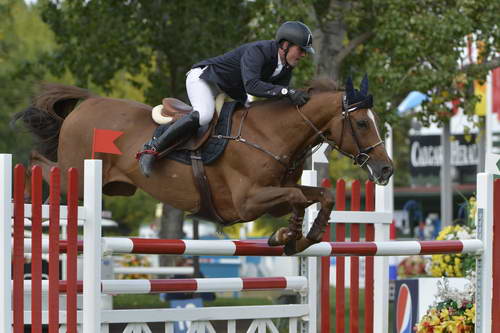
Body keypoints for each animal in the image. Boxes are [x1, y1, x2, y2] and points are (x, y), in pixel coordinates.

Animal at [13, 76, 392, 254]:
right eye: (362, 123)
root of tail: (89, 102)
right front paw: (287, 235)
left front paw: (300, 238)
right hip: (77, 175)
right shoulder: (247, 203)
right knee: (40, 165)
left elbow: (321, 195)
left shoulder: (278, 194)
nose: (386, 169)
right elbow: (301, 198)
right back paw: (33, 211)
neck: (270, 134)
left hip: (112, 187)